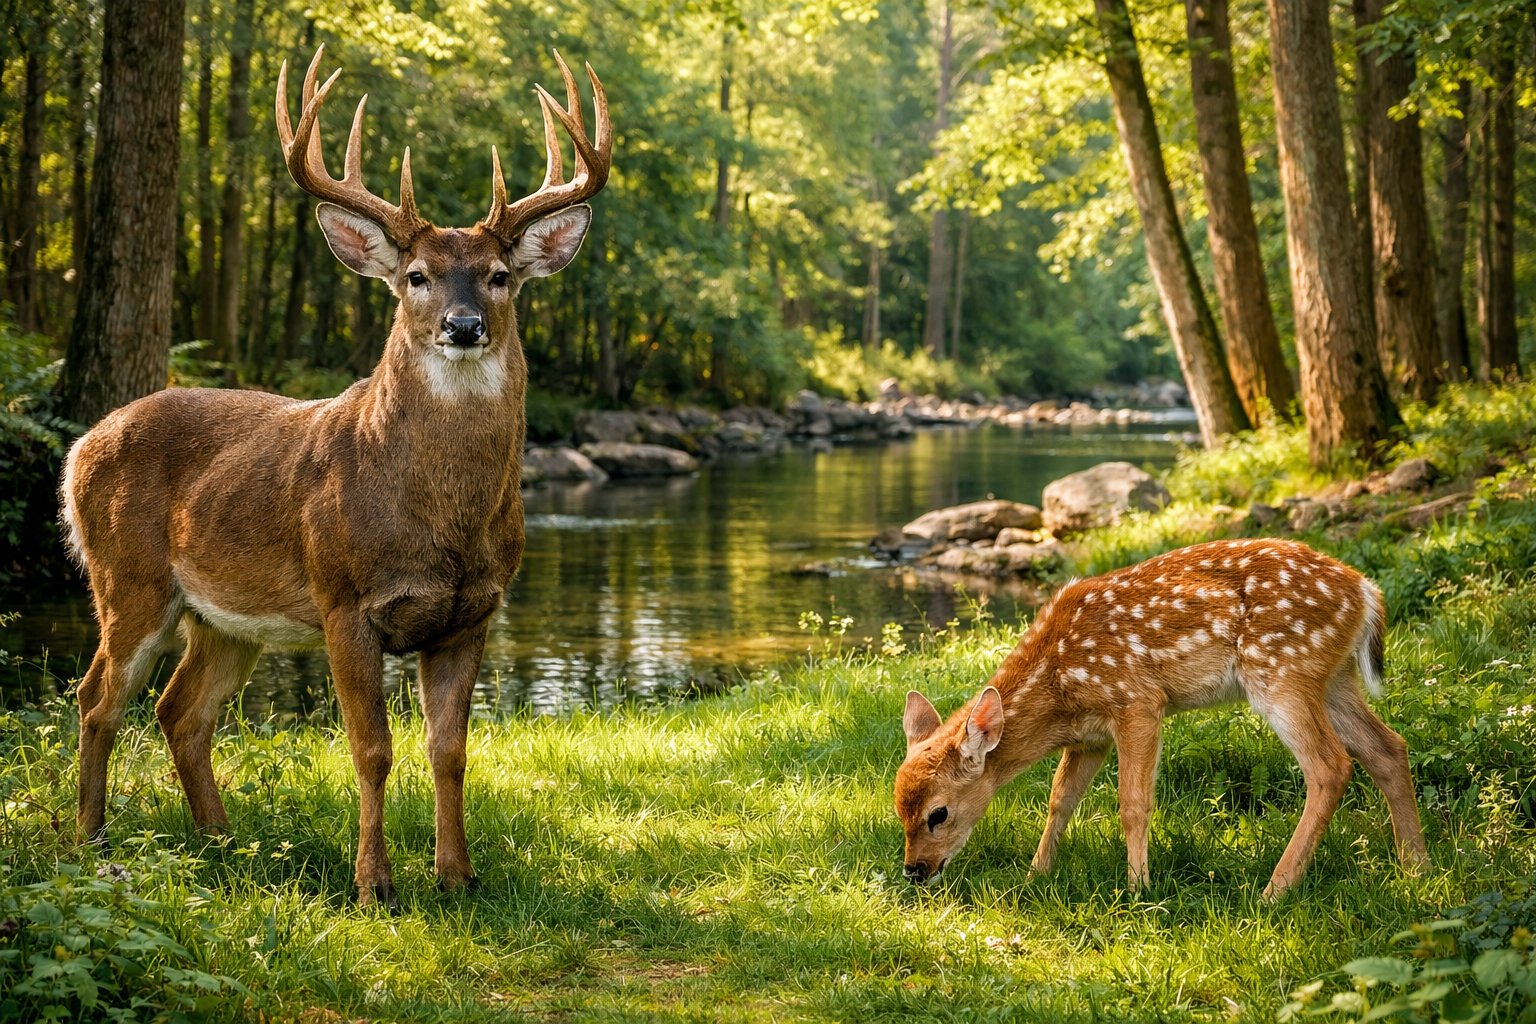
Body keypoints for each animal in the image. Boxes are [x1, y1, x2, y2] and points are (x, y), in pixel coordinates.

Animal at [60, 46, 611, 909]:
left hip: (226, 617)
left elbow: (449, 749)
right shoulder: (344, 599)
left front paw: (457, 875)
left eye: (497, 274)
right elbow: (371, 749)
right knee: (97, 700)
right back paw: (93, 839)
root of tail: (81, 444)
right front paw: (375, 885)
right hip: (128, 579)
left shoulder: (473, 613)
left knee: (182, 711)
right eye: (417, 275)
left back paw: (221, 839)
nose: (463, 326)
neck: (440, 520)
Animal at [895, 538, 1429, 899]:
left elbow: (1133, 803)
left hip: (1282, 670)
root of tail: (1366, 592)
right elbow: (1060, 800)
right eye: (898, 808)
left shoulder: (1137, 701)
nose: (915, 870)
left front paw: (1138, 889)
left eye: (938, 813)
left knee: (1330, 766)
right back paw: (1416, 868)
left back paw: (1274, 890)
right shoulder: (1088, 737)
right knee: (1388, 747)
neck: (1057, 683)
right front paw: (1035, 874)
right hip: (1333, 678)